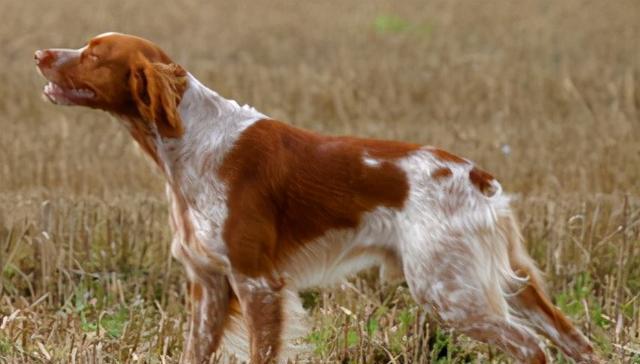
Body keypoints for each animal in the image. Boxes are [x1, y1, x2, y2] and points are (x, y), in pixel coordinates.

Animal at [35, 32, 600, 362]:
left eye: (93, 54)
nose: (39, 53)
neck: (191, 143)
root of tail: (478, 177)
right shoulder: (208, 285)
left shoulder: (257, 282)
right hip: (500, 283)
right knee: (574, 339)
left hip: (449, 291)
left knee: (532, 347)